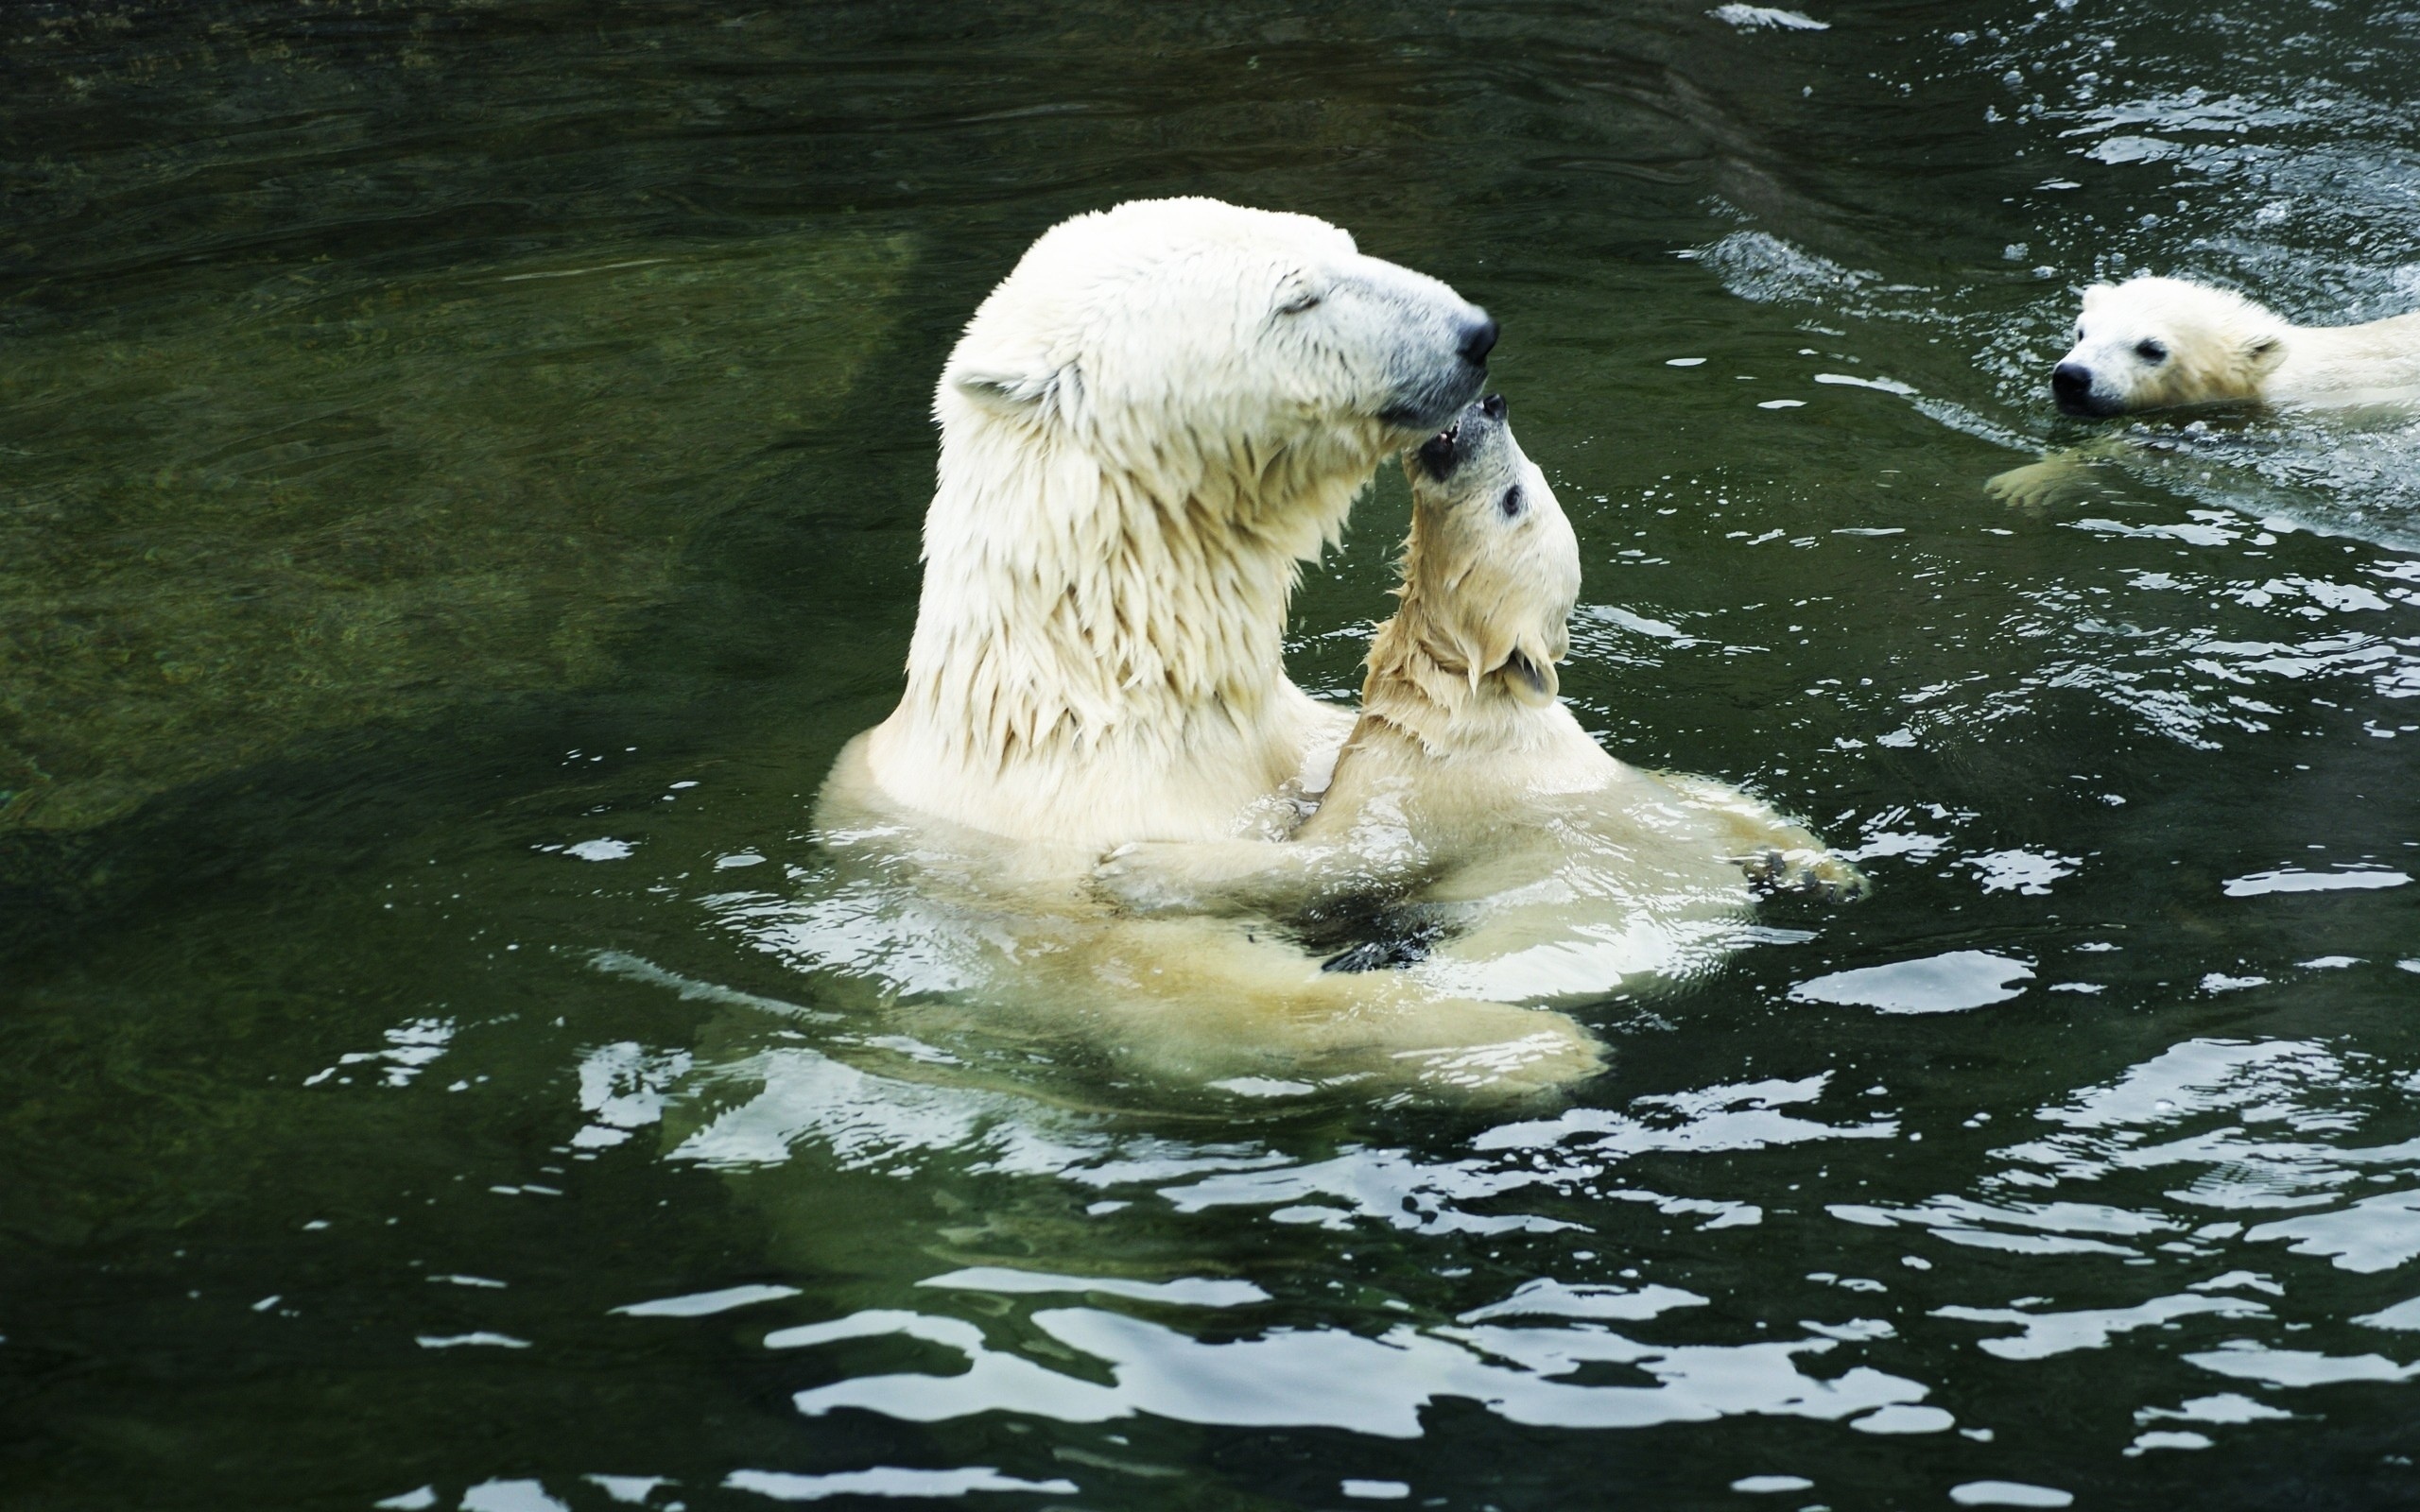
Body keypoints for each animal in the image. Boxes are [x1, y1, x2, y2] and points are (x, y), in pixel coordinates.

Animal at [1098, 394, 1868, 996]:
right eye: (1530, 479)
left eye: (1514, 497)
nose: (1491, 405)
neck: (1458, 697)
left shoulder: (1432, 787)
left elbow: (1342, 859)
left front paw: (1135, 865)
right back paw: (1814, 871)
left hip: (1573, 925)